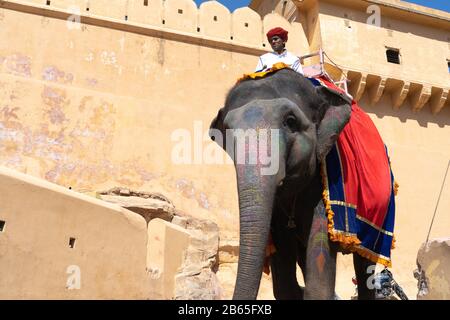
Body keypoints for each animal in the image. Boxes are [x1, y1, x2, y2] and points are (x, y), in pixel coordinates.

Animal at [209, 68, 396, 300]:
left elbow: (319, 274)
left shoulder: (326, 180)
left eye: (290, 121)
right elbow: (284, 283)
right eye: (226, 130)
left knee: (364, 264)